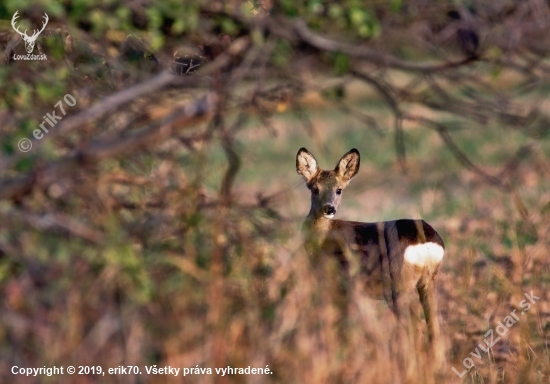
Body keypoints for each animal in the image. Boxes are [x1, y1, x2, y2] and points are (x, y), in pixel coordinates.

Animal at [296, 147, 446, 366]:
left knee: (413, 325)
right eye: (314, 188)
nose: (329, 208)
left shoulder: (339, 284)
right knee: (434, 325)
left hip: (398, 284)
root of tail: (427, 243)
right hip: (427, 281)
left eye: (339, 189)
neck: (323, 239)